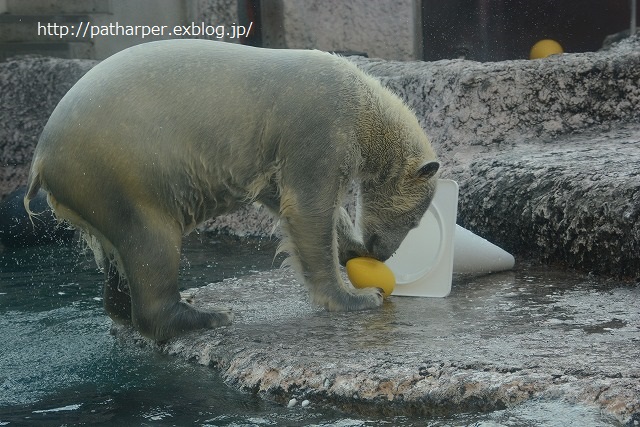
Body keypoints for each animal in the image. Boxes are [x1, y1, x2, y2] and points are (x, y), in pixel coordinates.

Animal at [22, 39, 438, 342]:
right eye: (415, 221)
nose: (379, 252)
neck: (364, 104)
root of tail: (42, 157)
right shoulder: (318, 126)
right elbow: (309, 207)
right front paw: (358, 298)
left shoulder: (278, 156)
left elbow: (285, 200)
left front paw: (351, 248)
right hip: (118, 170)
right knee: (149, 241)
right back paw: (206, 315)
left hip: (94, 188)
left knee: (116, 256)